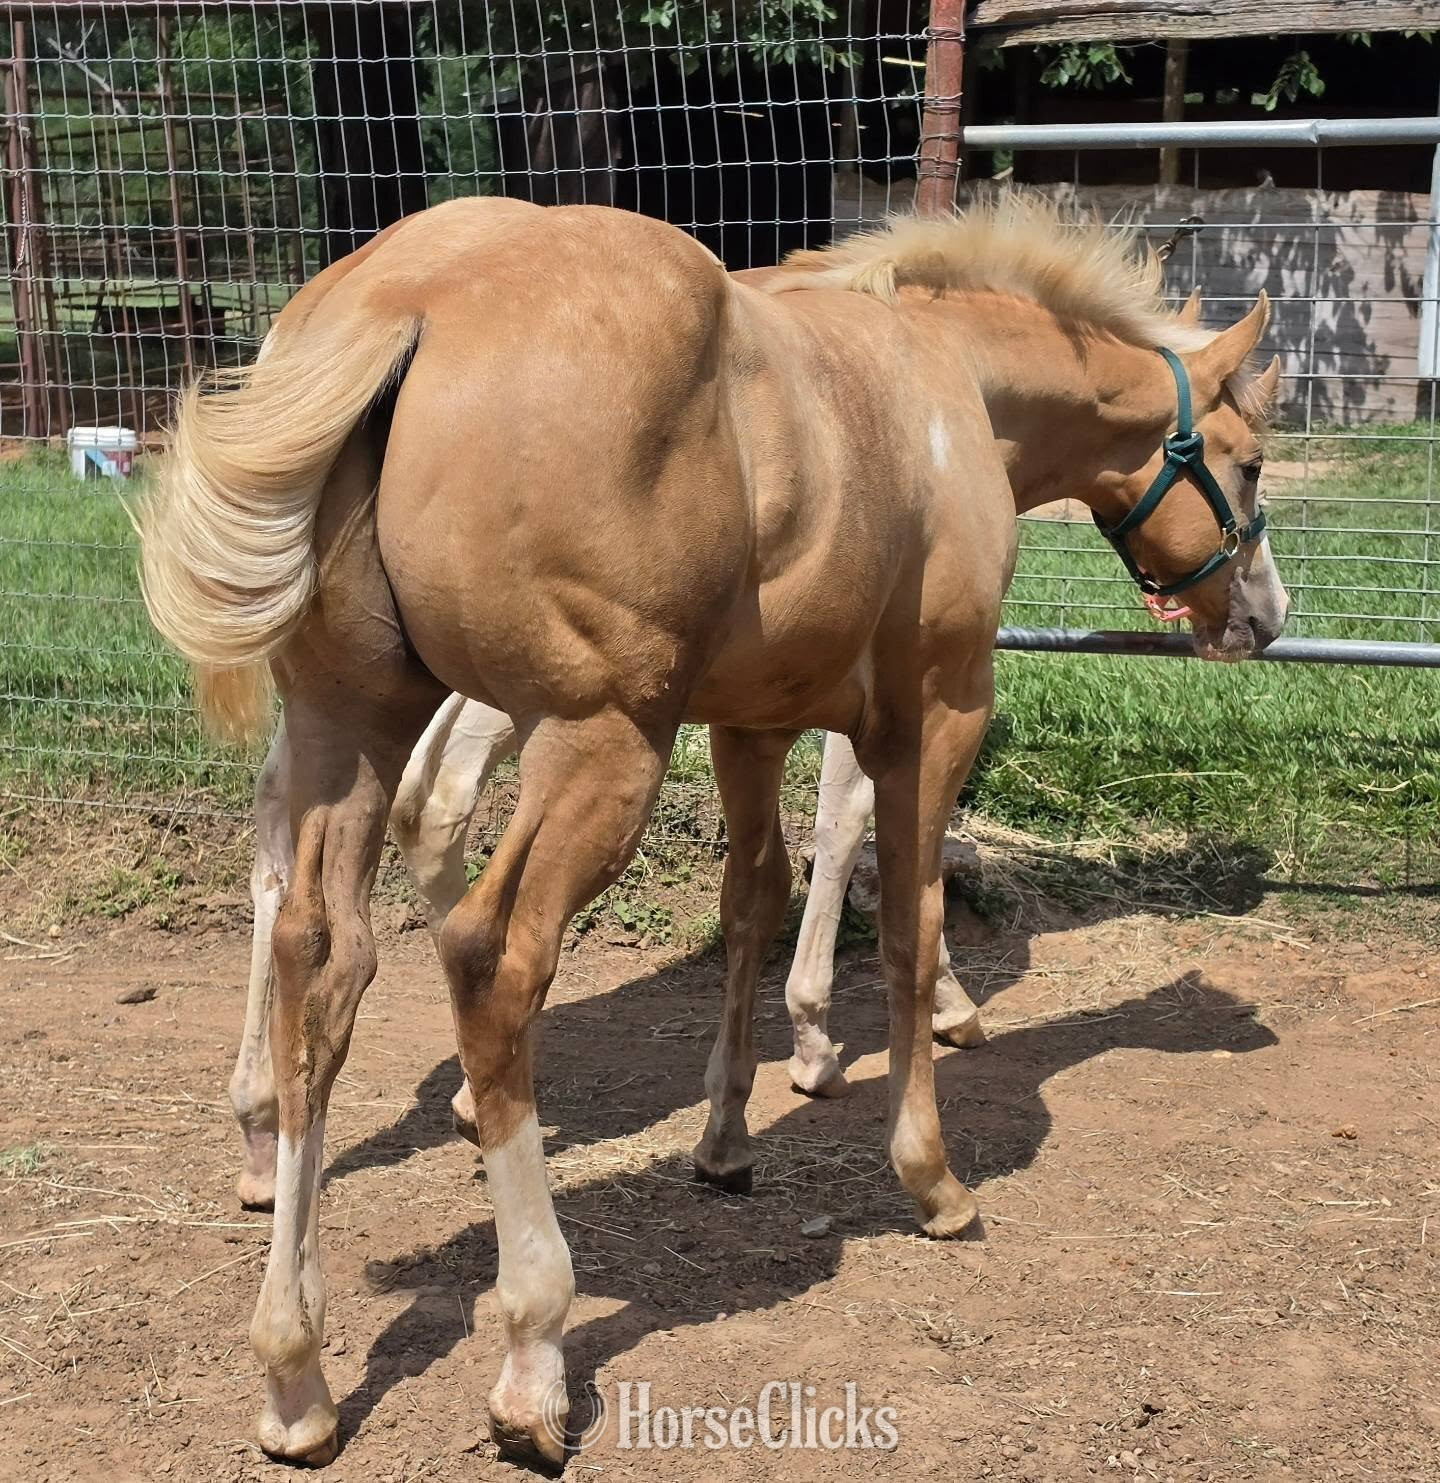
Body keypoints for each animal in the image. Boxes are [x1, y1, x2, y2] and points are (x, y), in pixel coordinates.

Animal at [138, 195, 1286, 1467]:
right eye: (1248, 459)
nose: (1265, 616)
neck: (949, 390)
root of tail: (407, 298)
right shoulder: (935, 711)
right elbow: (905, 918)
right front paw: (928, 1169)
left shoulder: (751, 719)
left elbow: (754, 897)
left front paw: (729, 1136)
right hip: (599, 739)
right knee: (489, 954)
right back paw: (532, 1347)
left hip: (352, 718)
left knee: (317, 954)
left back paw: (296, 1367)